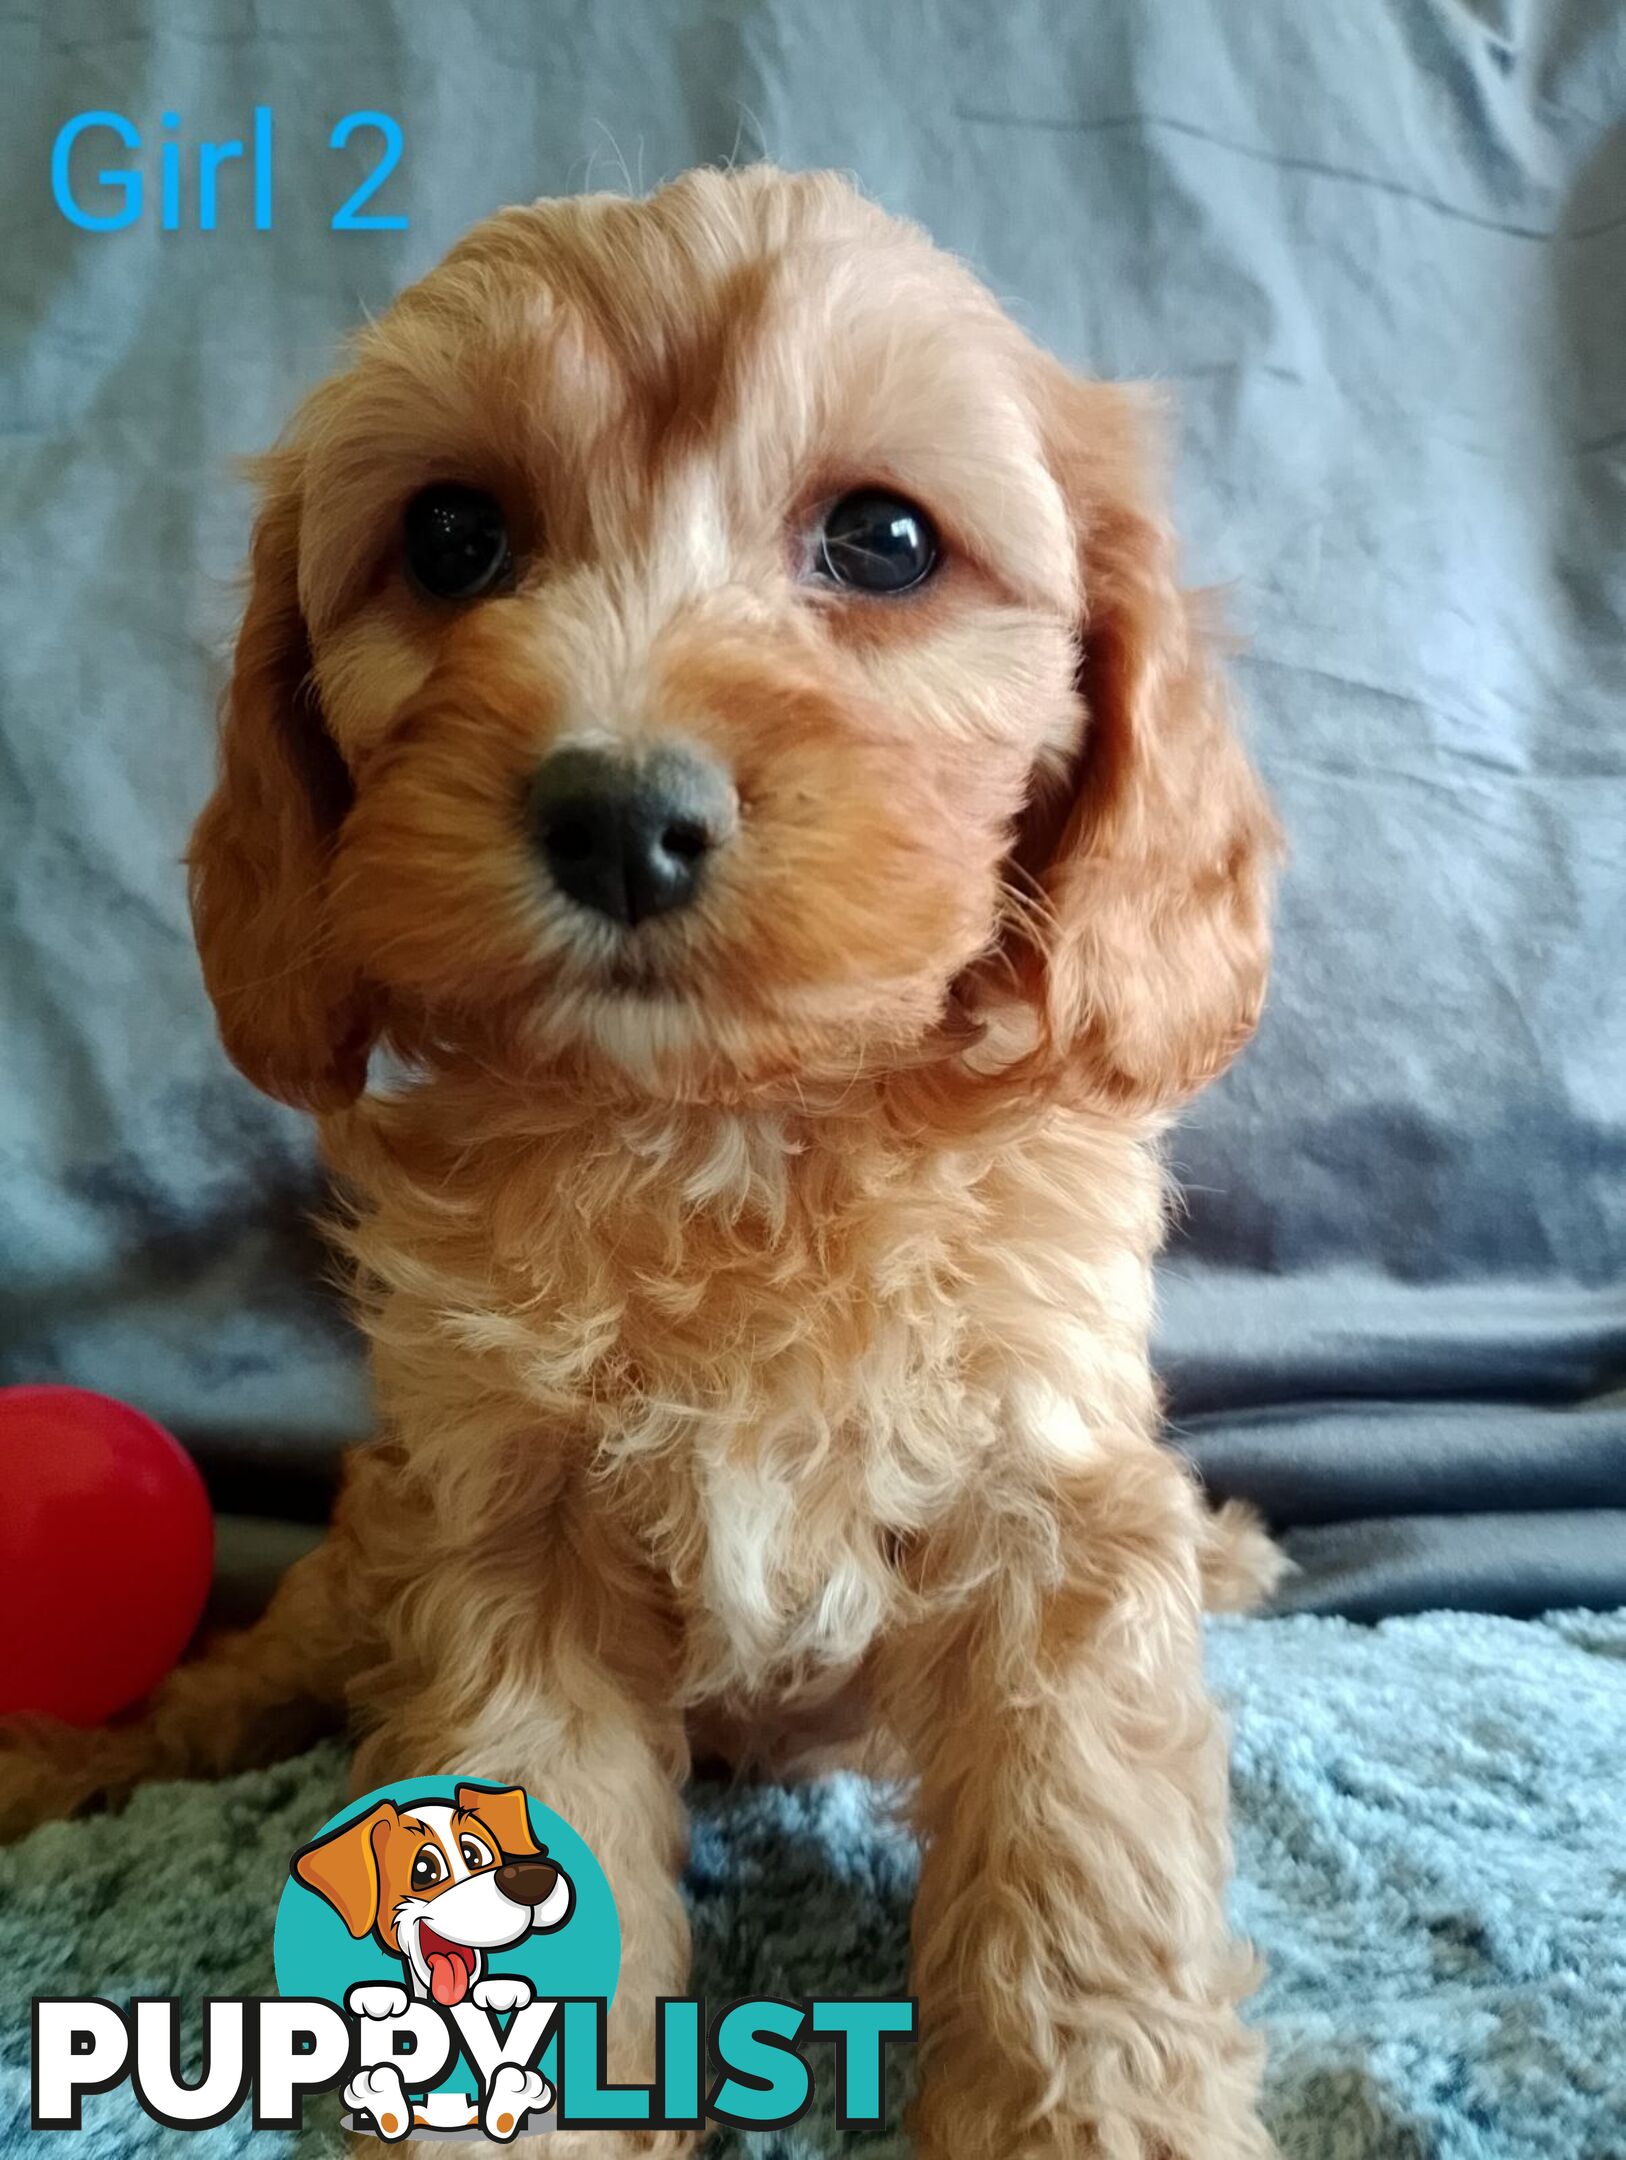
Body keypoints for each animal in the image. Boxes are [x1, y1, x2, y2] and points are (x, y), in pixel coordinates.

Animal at [6, 172, 1286, 2160]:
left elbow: (1084, 1859)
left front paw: (1095, 2120)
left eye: (885, 539)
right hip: (366, 1543)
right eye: (452, 536)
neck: (728, 1131)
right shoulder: (497, 1525)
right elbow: (525, 1798)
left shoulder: (1050, 1499)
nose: (618, 816)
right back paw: (79, 1747)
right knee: (253, 1664)